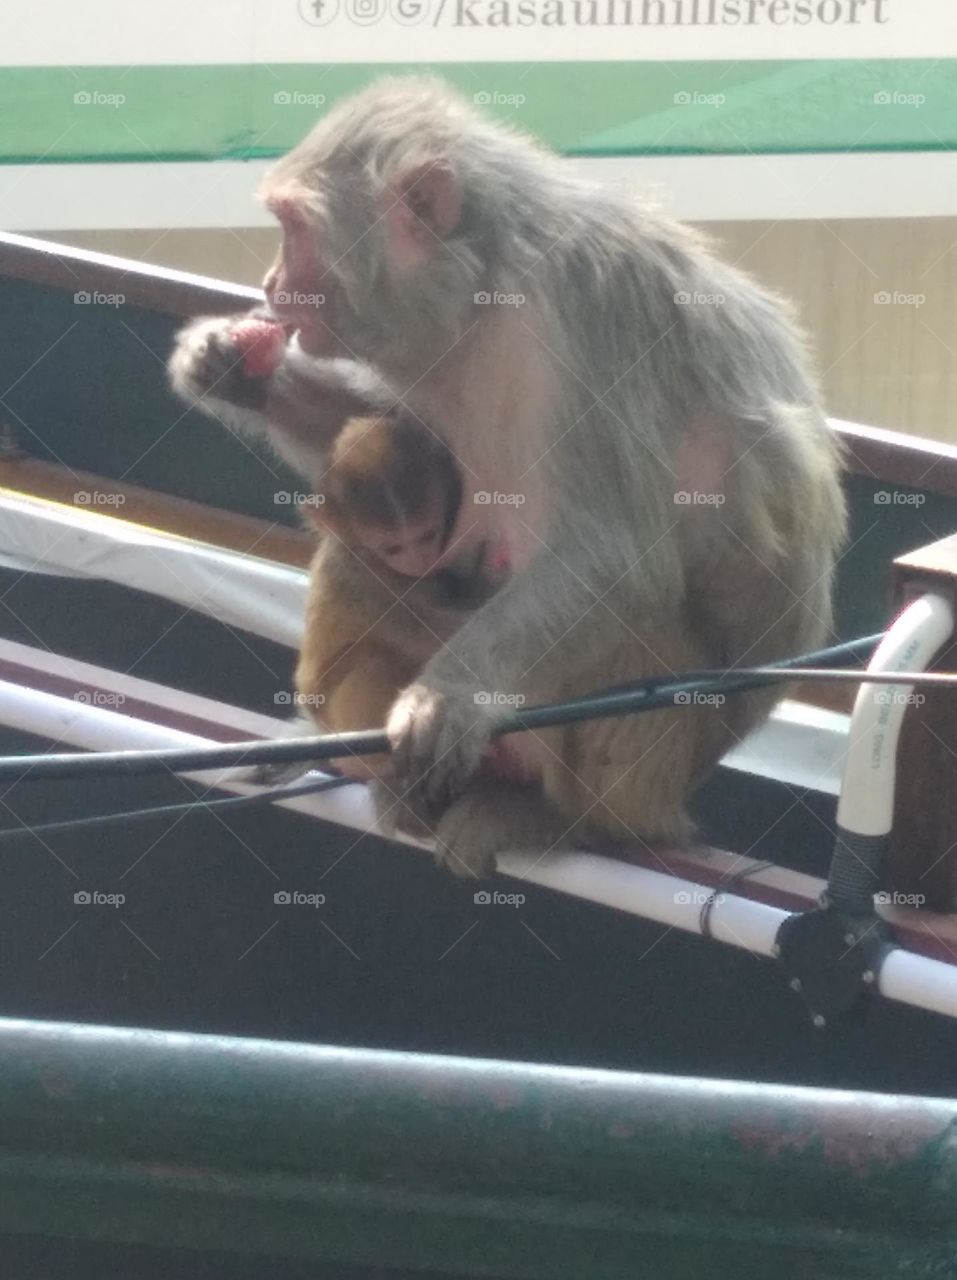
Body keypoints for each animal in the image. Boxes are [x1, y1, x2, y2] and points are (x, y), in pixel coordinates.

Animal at [170, 77, 847, 877]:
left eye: (294, 228)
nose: (273, 281)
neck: (487, 282)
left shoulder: (590, 308)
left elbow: (617, 559)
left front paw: (445, 698)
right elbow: (396, 437)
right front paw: (228, 368)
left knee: (635, 629)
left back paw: (565, 821)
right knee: (357, 561)